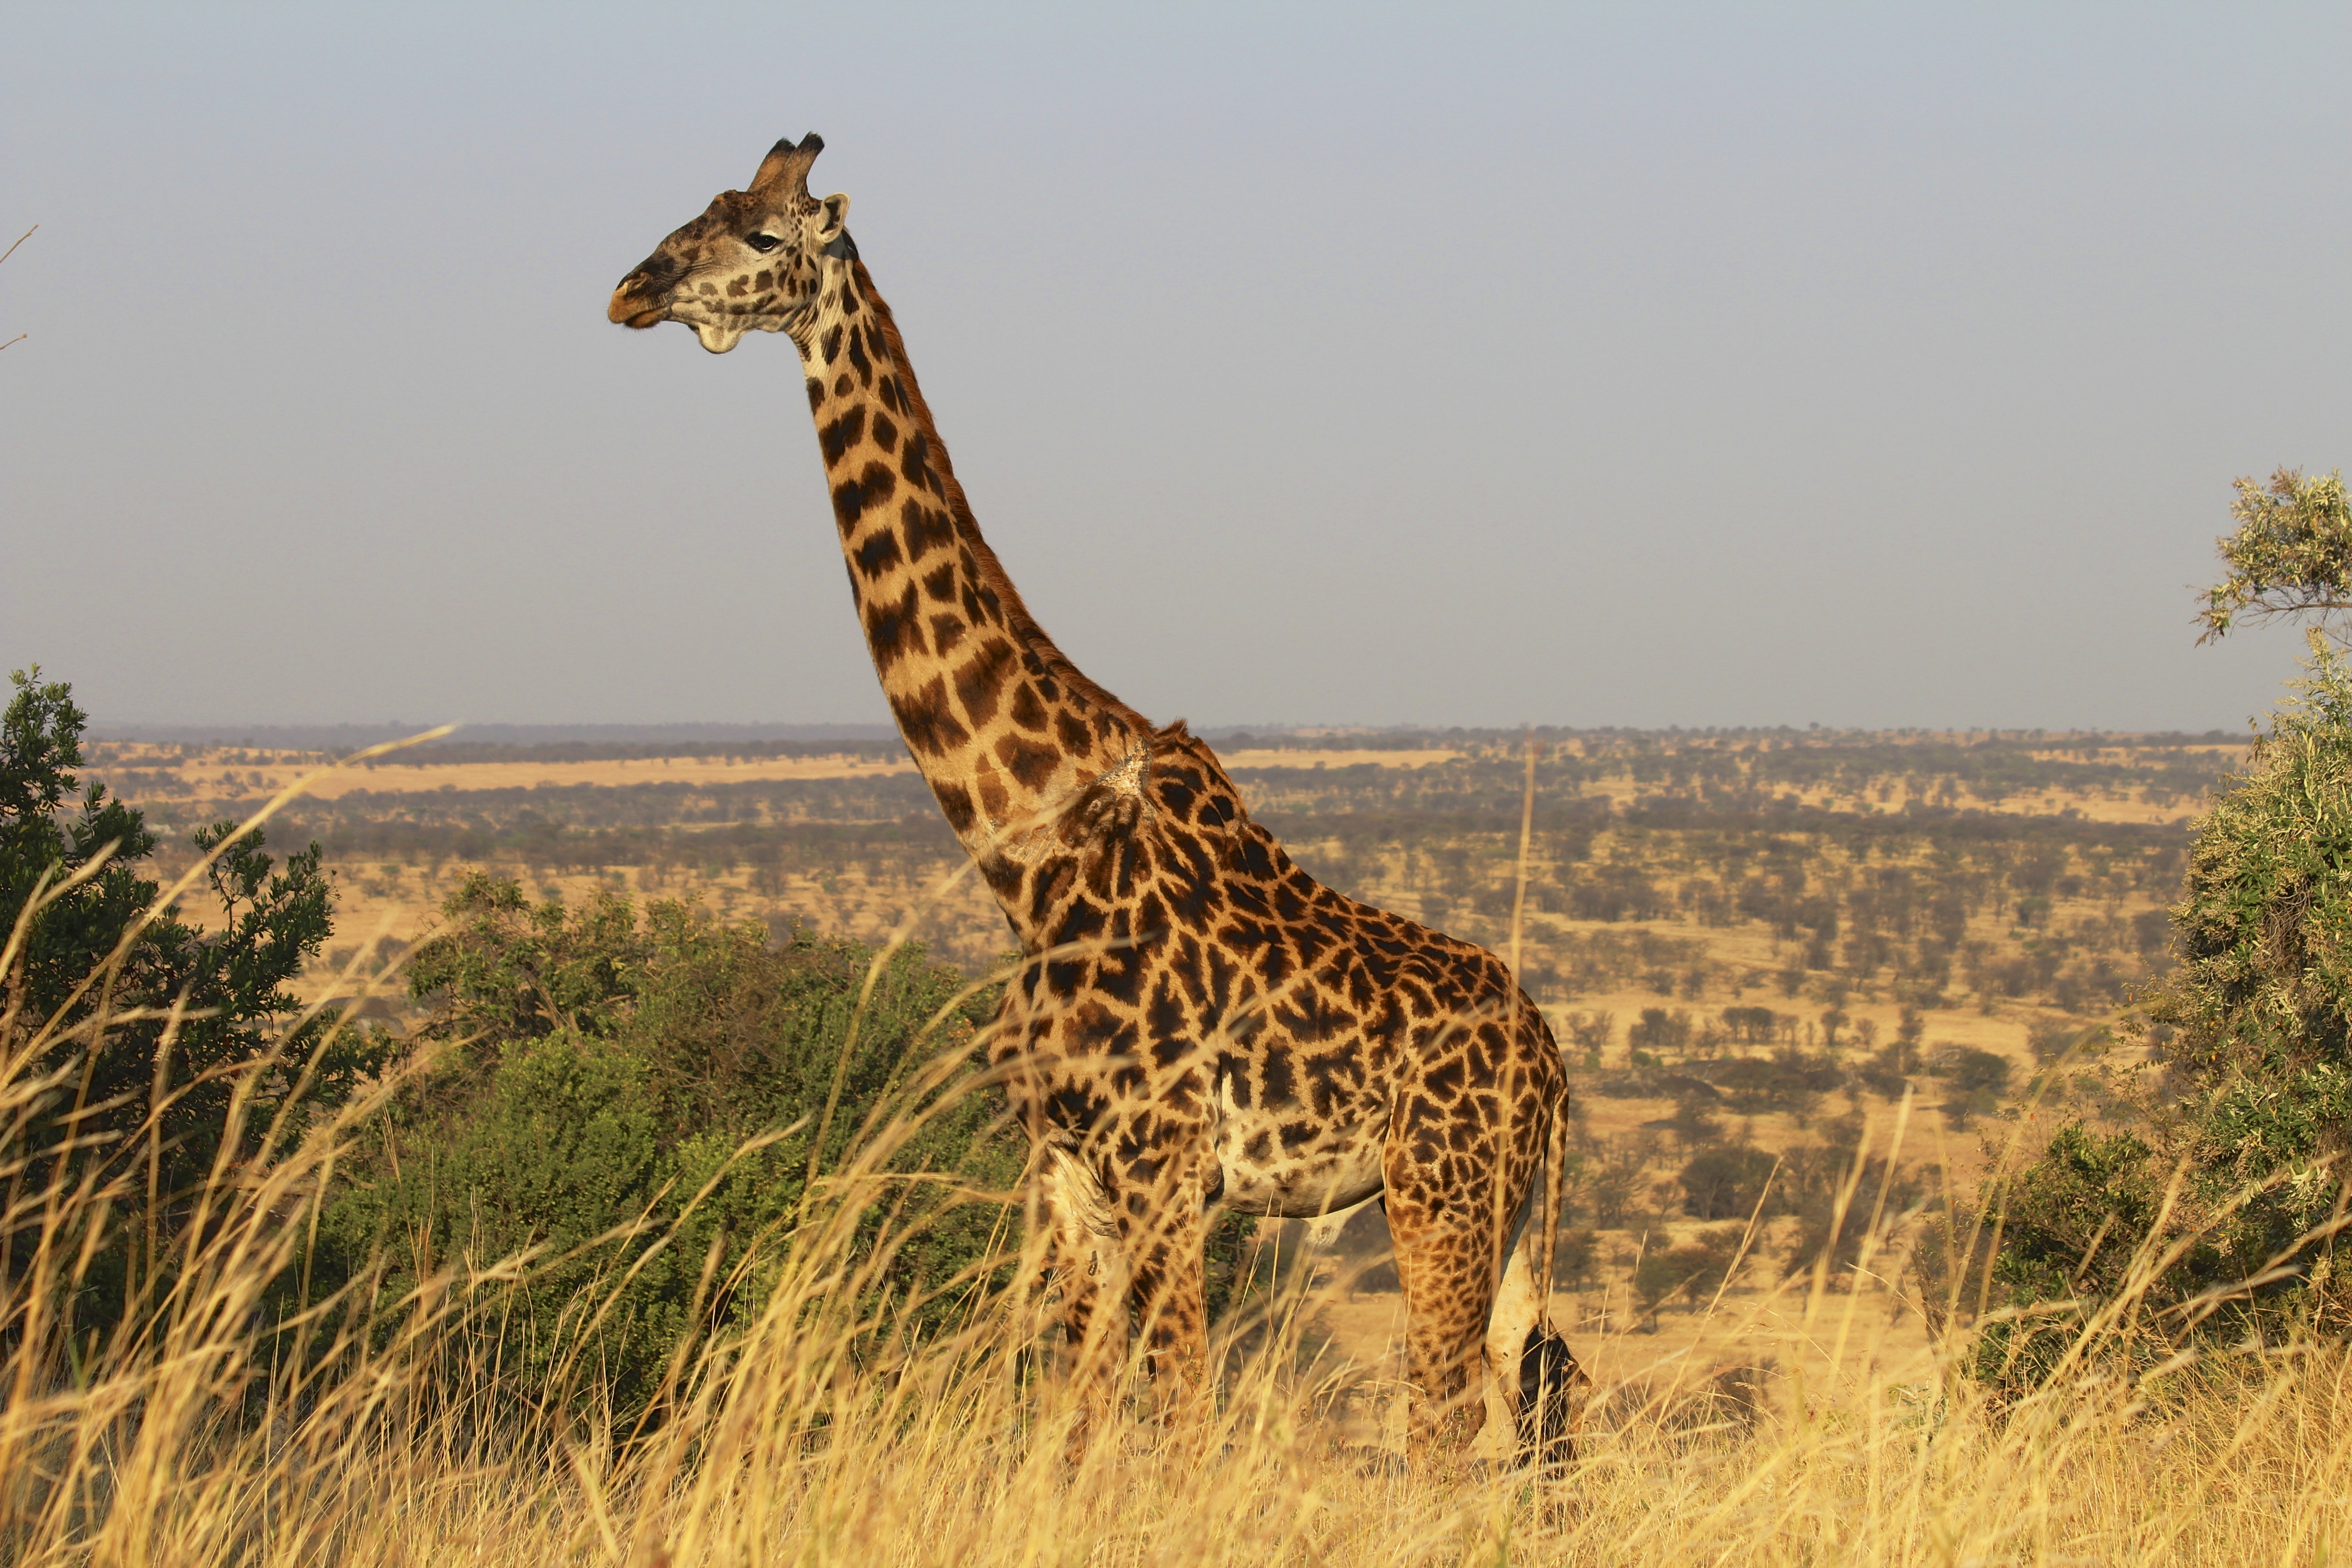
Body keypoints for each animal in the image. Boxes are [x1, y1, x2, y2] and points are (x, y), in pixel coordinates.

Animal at [607, 133, 1586, 1467]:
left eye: (763, 235)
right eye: (698, 209)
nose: (634, 288)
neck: (1025, 842)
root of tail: (1555, 1066)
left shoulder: (1163, 1164)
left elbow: (1176, 1417)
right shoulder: (1065, 1167)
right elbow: (1075, 1423)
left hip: (1436, 1190)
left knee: (1441, 1428)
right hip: (1507, 1216)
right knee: (1535, 1398)